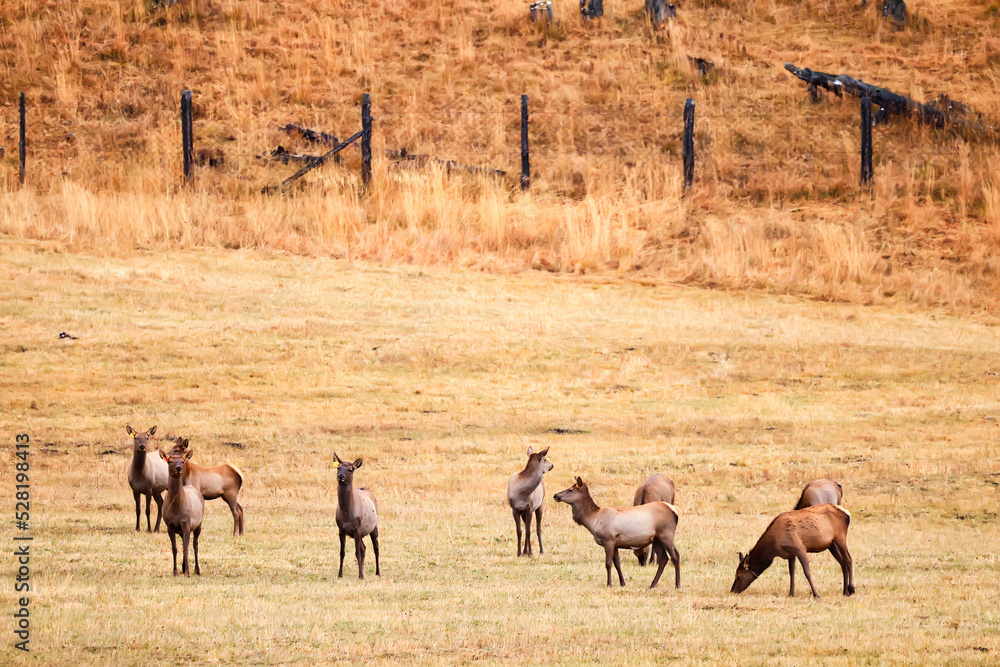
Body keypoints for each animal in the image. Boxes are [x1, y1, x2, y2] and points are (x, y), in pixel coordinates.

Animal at [160, 448, 205, 576]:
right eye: (170, 461)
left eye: (183, 461)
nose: (178, 468)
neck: (176, 509)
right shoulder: (169, 525)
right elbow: (175, 548)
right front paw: (175, 571)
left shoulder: (186, 522)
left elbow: (185, 548)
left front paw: (188, 572)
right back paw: (183, 567)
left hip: (198, 524)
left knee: (195, 545)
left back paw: (197, 570)